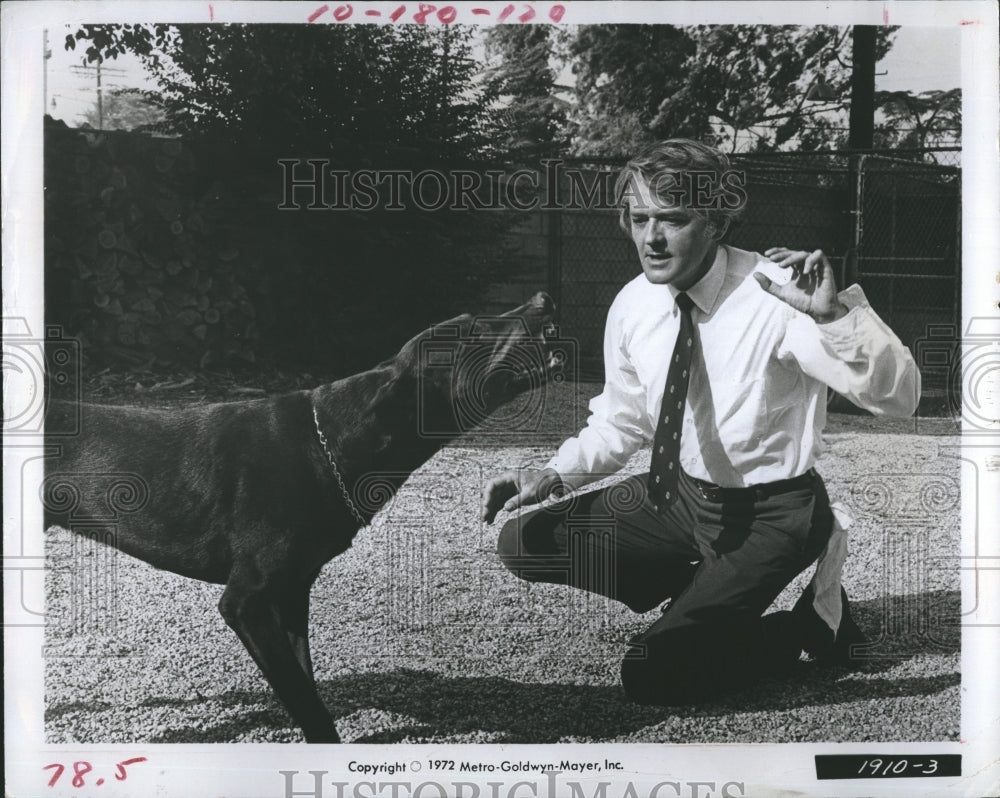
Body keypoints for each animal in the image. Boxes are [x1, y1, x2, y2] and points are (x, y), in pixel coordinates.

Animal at [47, 292, 560, 744]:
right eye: (471, 329)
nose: (544, 299)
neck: (327, 444)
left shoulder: (292, 591)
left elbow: (305, 679)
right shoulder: (247, 602)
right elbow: (304, 698)